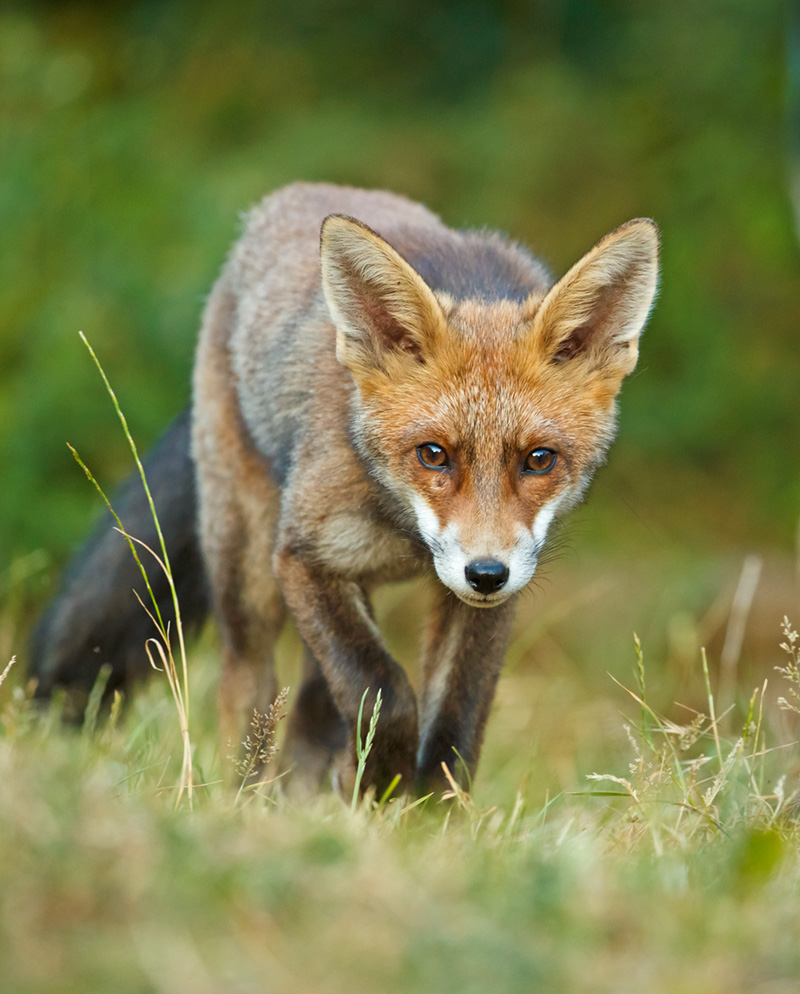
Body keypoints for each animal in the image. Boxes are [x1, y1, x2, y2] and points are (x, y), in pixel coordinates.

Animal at [30, 182, 659, 797]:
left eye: (538, 460)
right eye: (433, 454)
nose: (486, 574)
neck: (403, 536)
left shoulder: (487, 601)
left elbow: (454, 730)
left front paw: (424, 812)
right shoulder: (303, 555)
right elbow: (383, 688)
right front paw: (385, 777)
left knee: (311, 712)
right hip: (250, 580)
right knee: (247, 693)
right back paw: (239, 802)